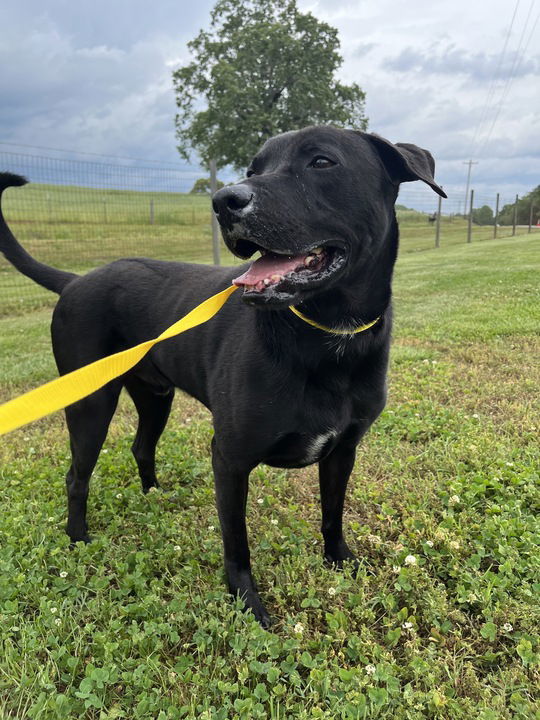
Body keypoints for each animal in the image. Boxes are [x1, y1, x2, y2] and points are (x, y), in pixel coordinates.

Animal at [0, 126, 446, 628]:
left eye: (322, 162)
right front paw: (247, 604)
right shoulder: (229, 459)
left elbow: (332, 514)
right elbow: (237, 543)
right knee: (76, 476)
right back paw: (78, 538)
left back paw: (156, 498)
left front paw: (340, 561)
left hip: (155, 397)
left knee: (141, 447)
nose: (224, 201)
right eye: (253, 168)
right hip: (91, 403)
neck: (327, 335)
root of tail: (75, 281)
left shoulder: (342, 451)